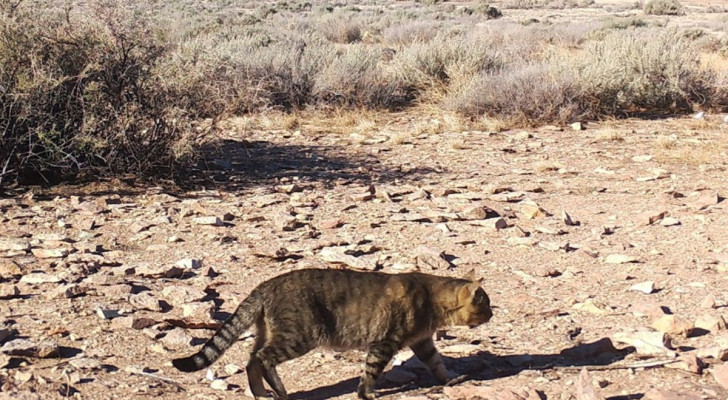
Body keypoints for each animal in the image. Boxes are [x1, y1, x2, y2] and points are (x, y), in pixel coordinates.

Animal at [173, 268, 492, 398]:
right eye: (485, 304)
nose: (492, 314)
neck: (431, 298)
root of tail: (266, 284)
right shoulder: (384, 342)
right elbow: (371, 371)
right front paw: (366, 393)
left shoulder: (423, 341)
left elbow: (438, 364)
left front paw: (450, 379)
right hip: (300, 334)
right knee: (263, 359)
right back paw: (277, 390)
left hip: (270, 332)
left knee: (252, 359)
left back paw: (262, 393)